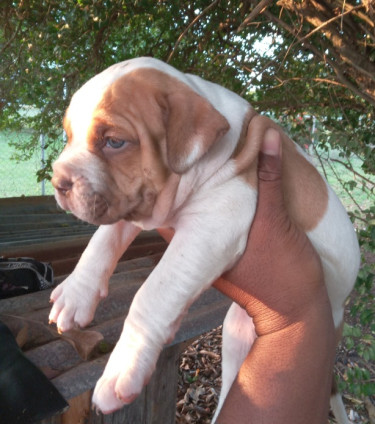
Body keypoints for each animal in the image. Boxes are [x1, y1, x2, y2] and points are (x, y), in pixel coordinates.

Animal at [50, 55, 362, 420]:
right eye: (69, 136)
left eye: (114, 142)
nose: (58, 181)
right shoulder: (132, 203)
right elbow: (102, 239)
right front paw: (76, 295)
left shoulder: (216, 223)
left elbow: (152, 294)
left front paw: (123, 368)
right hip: (236, 335)